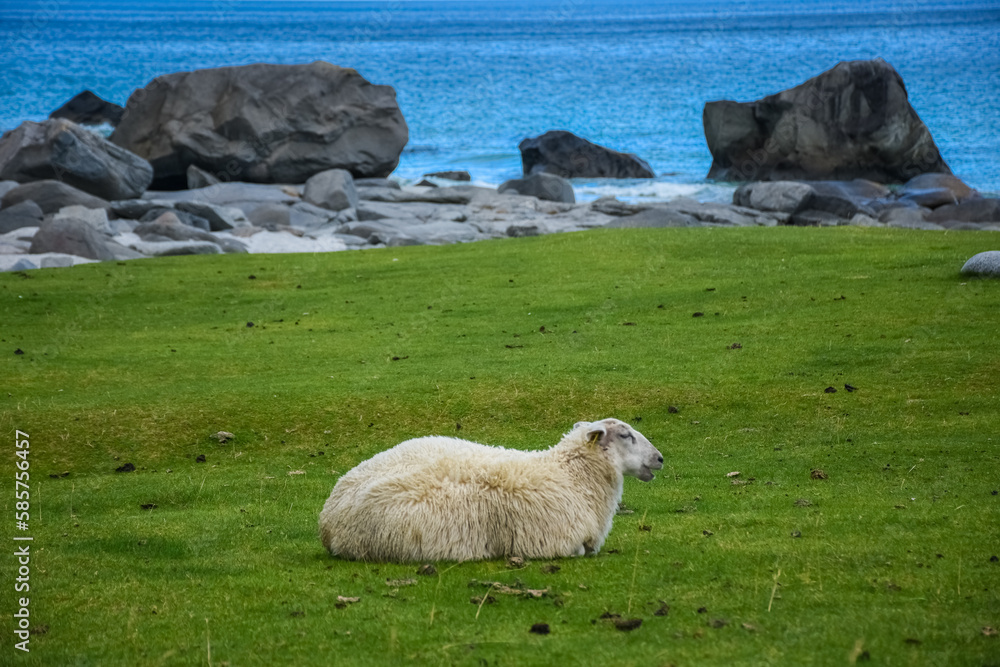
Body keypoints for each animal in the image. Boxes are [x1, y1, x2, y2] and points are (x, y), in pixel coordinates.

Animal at [318, 418, 663, 562]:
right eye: (626, 435)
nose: (660, 458)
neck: (569, 474)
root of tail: (328, 518)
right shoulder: (553, 542)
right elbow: (582, 551)